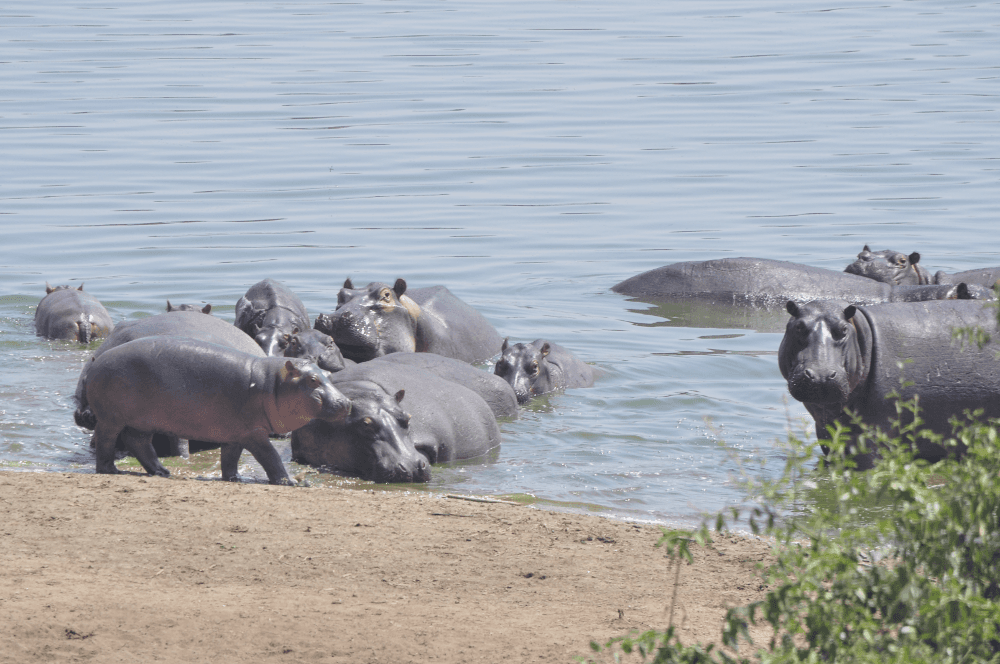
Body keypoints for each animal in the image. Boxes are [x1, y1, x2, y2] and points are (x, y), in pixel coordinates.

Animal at [85, 336, 351, 484]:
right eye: (312, 381)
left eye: (327, 375)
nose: (347, 403)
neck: (273, 384)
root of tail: (96, 361)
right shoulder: (254, 433)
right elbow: (271, 457)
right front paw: (289, 482)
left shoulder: (236, 434)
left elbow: (230, 458)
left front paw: (234, 479)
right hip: (111, 418)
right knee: (107, 440)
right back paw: (111, 470)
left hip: (143, 421)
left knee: (138, 442)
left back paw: (162, 472)